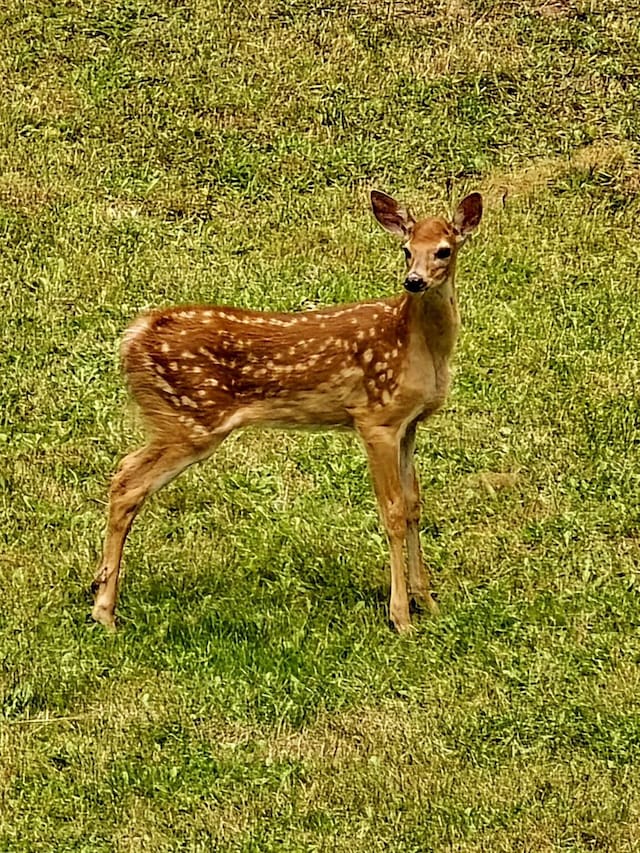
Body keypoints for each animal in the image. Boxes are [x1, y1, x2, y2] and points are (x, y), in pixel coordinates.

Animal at [92, 191, 482, 632]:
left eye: (444, 250)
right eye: (406, 249)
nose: (413, 281)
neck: (418, 346)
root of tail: (133, 335)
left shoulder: (410, 423)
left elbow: (415, 505)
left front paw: (428, 602)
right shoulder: (375, 418)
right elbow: (393, 512)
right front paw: (401, 618)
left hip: (178, 418)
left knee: (123, 470)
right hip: (190, 418)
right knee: (128, 482)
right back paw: (104, 611)